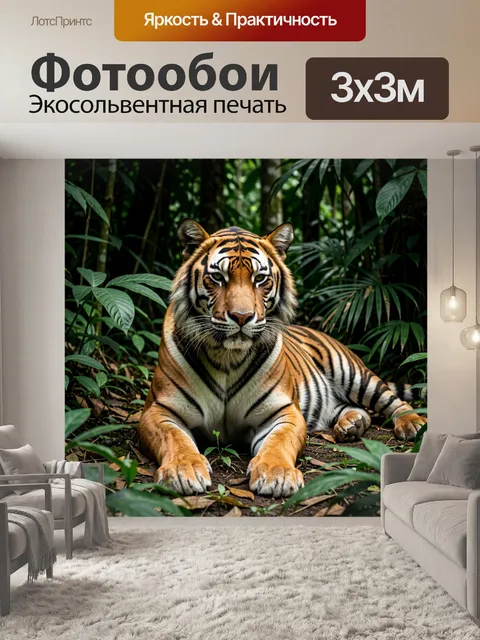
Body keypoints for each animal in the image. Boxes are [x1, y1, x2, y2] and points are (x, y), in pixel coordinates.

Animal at [138, 220, 427, 498]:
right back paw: (352, 424)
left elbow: (278, 443)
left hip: (353, 374)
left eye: (260, 278)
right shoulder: (158, 410)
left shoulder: (284, 411)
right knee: (349, 407)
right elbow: (174, 438)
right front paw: (181, 470)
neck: (227, 357)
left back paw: (413, 425)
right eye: (218, 277)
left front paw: (277, 475)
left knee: (393, 401)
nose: (242, 317)